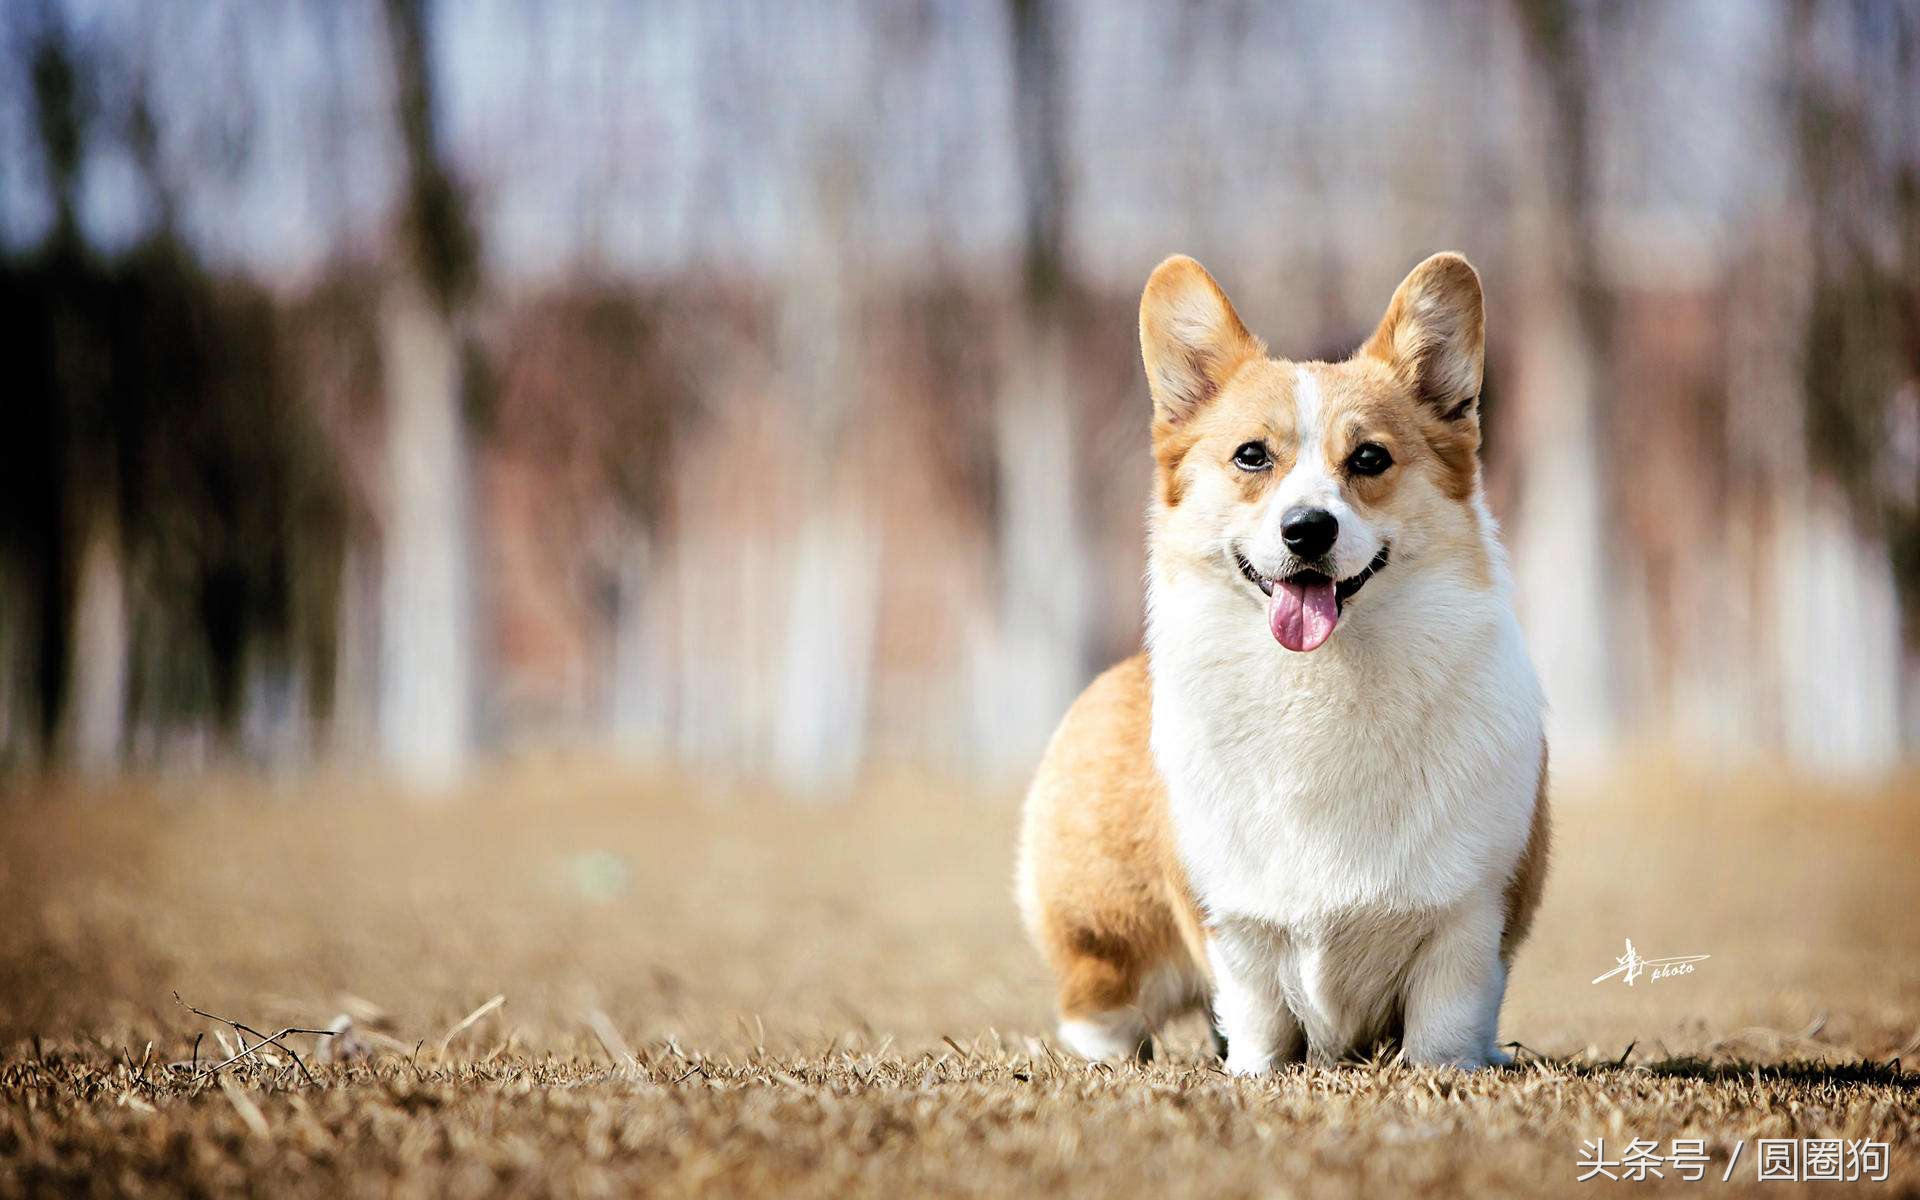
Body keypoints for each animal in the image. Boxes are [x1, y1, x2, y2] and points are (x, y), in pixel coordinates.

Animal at [1021, 249, 1543, 1067]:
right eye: (1251, 456)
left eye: (1370, 457)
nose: (1306, 529)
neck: (1321, 683)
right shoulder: (1234, 922)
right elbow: (1258, 1013)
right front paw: (1254, 1075)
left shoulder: (1469, 915)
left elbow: (1446, 1021)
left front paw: (1450, 1071)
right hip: (1106, 941)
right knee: (1103, 1011)